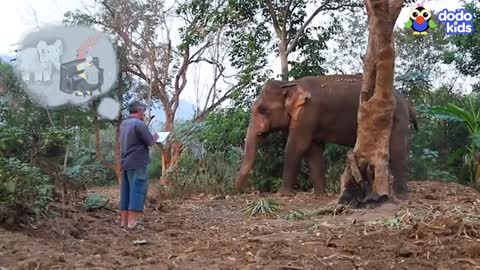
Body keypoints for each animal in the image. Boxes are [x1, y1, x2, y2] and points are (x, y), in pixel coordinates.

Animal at [234, 73, 418, 198]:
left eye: (263, 110)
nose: (246, 191)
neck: (290, 84)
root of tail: (407, 100)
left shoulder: (307, 114)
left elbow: (296, 147)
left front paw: (282, 195)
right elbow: (313, 151)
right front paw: (319, 195)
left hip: (396, 120)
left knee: (397, 151)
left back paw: (400, 195)